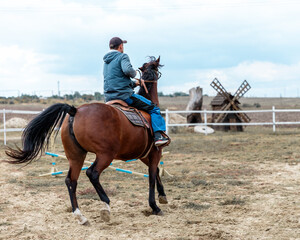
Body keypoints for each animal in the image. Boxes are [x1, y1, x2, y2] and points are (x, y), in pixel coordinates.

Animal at [5, 56, 169, 225]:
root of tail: (75, 111)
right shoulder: (155, 152)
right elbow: (151, 175)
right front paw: (155, 206)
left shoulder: (144, 155)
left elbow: (156, 171)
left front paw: (162, 196)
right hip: (105, 155)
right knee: (92, 173)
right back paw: (105, 205)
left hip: (76, 156)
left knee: (71, 180)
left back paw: (80, 215)